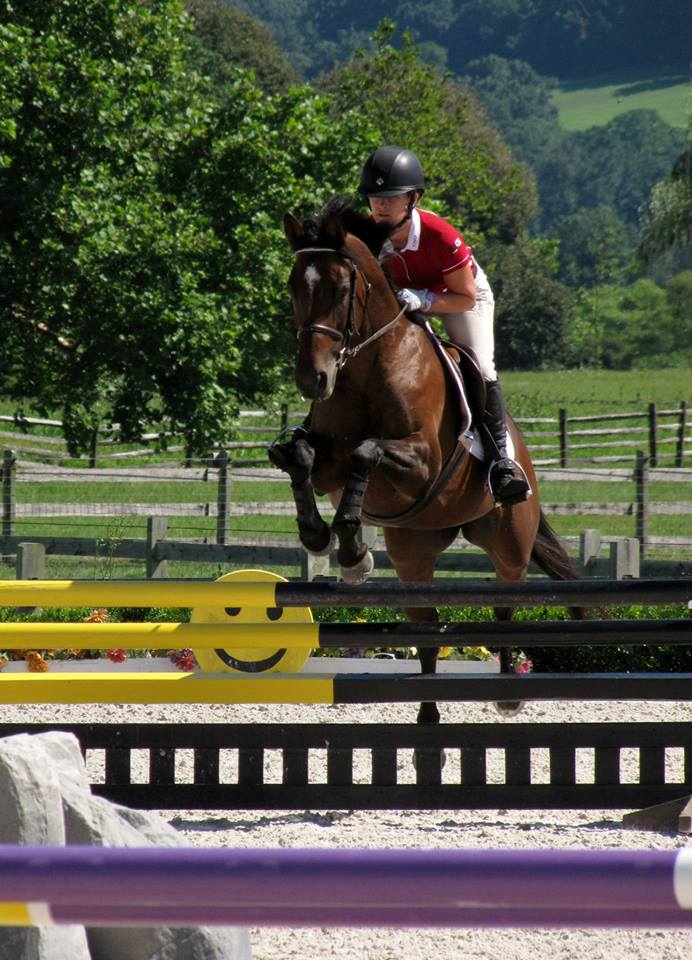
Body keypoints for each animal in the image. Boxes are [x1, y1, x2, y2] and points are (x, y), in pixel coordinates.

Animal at [270, 197, 583, 728]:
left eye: (339, 289)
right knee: (428, 627)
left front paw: (352, 547)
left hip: (508, 542)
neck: (365, 367)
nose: (313, 380)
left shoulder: (421, 464)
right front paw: (327, 541)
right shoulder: (328, 461)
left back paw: (507, 696)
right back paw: (428, 712)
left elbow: (367, 451)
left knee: (504, 608)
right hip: (413, 553)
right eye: (293, 286)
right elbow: (302, 457)